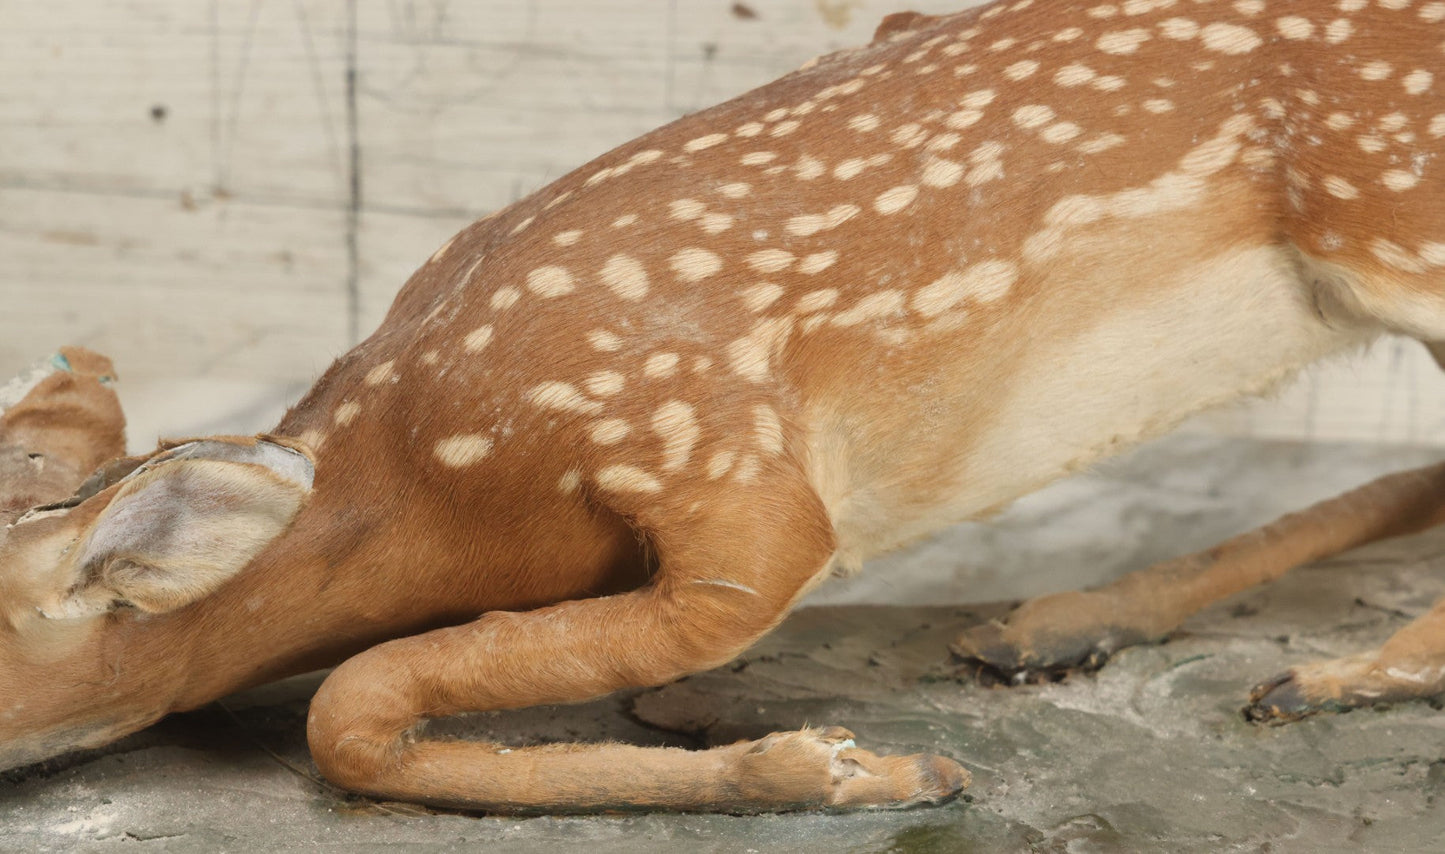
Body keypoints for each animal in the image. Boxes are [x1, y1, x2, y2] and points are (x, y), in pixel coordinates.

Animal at [3, 0, 1444, 814]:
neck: (437, 465)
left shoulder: (722, 467)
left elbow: (344, 707)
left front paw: (851, 769)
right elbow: (354, 708)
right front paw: (853, 762)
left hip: (1399, 215)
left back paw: (1331, 671)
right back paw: (1062, 618)